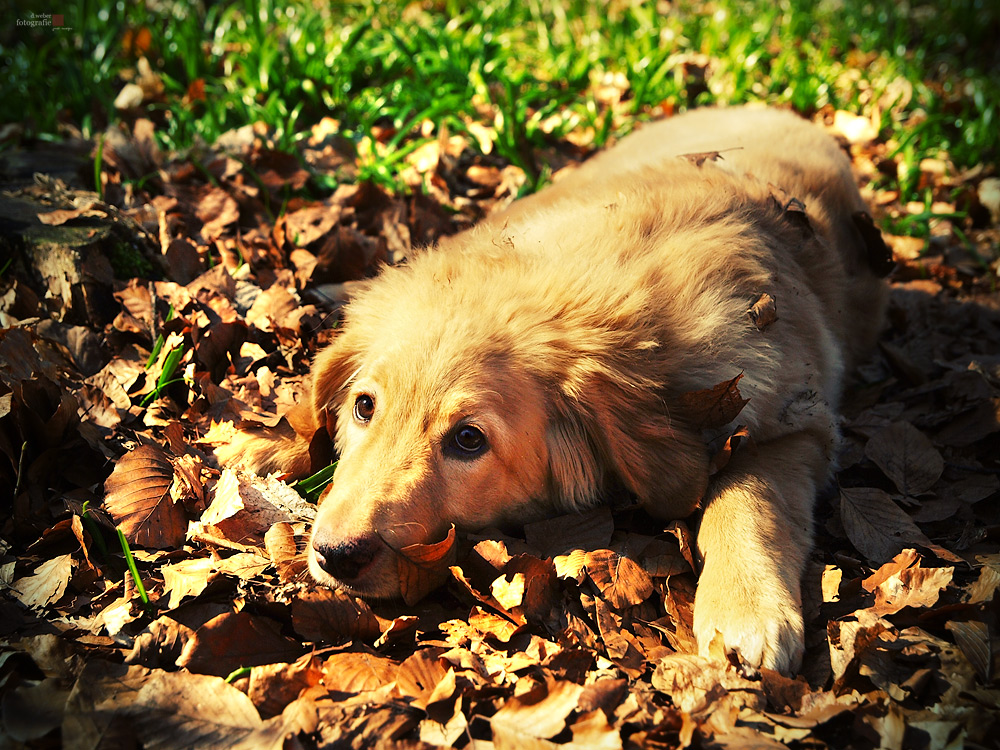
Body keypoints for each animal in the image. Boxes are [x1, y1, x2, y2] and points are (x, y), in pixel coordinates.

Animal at [221, 103, 892, 672]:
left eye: (469, 441)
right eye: (364, 407)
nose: (336, 555)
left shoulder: (797, 415)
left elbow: (750, 495)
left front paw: (745, 607)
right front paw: (268, 443)